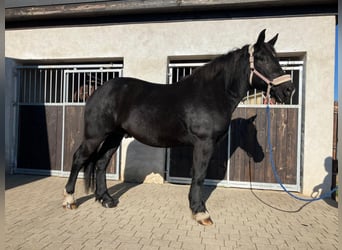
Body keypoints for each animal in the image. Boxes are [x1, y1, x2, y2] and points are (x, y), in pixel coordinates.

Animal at [63, 29, 294, 225]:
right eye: (263, 59)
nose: (288, 89)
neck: (211, 94)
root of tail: (96, 91)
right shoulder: (204, 143)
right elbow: (199, 176)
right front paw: (201, 212)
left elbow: (197, 175)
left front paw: (196, 207)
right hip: (95, 136)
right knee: (79, 158)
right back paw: (69, 200)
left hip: (114, 136)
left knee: (101, 163)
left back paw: (106, 199)